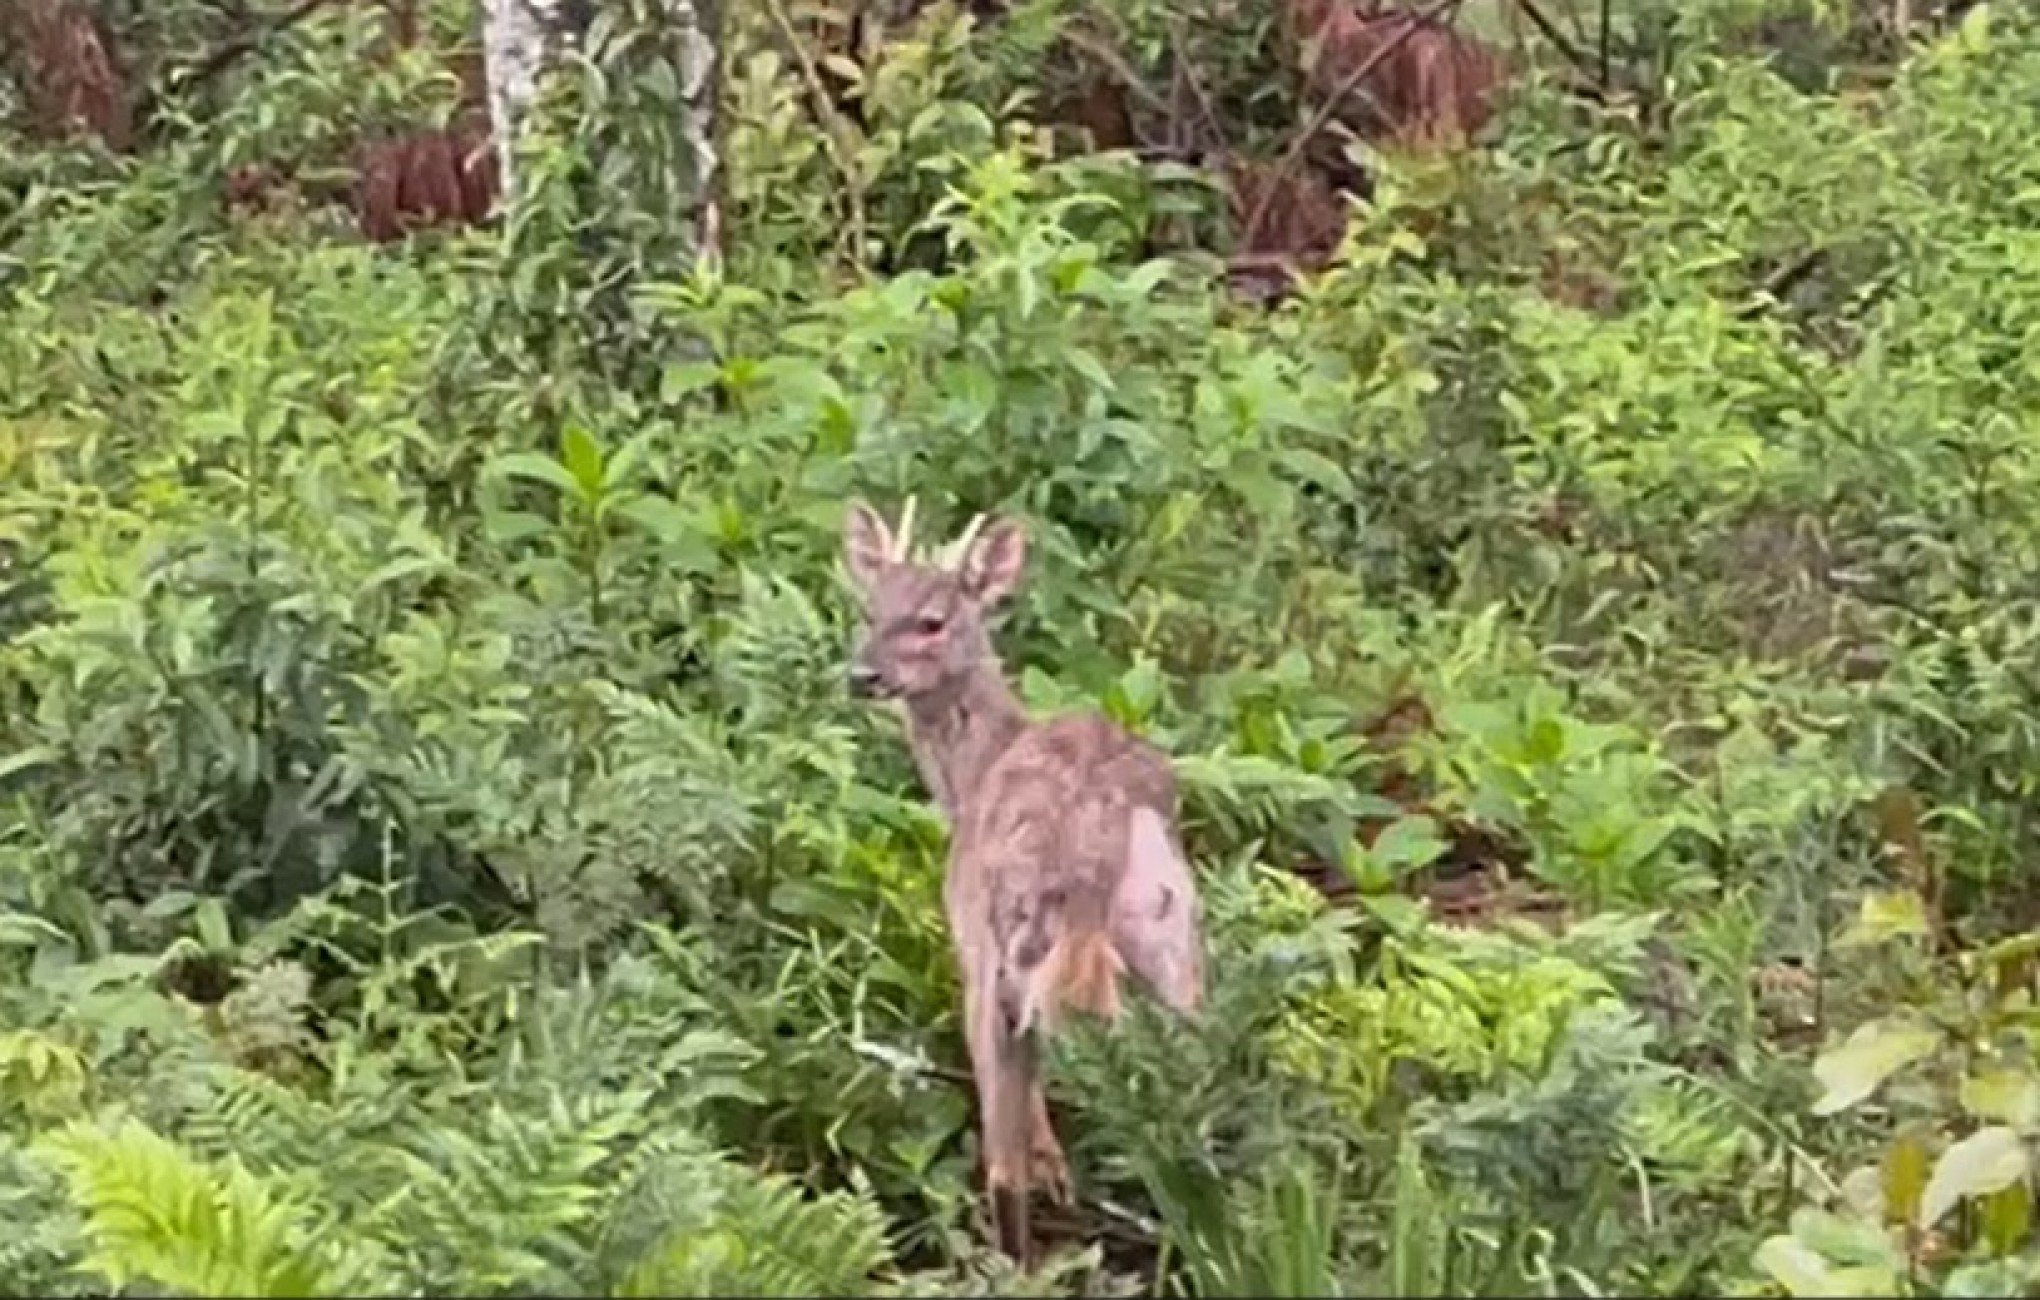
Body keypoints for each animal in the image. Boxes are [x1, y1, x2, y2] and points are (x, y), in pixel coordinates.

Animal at [836, 500, 1199, 1265]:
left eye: (932, 620)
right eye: (868, 609)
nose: (862, 675)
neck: (970, 778)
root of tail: (1093, 848)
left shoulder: (969, 943)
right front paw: (1060, 1171)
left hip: (1010, 941)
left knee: (1000, 1165)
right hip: (1174, 937)